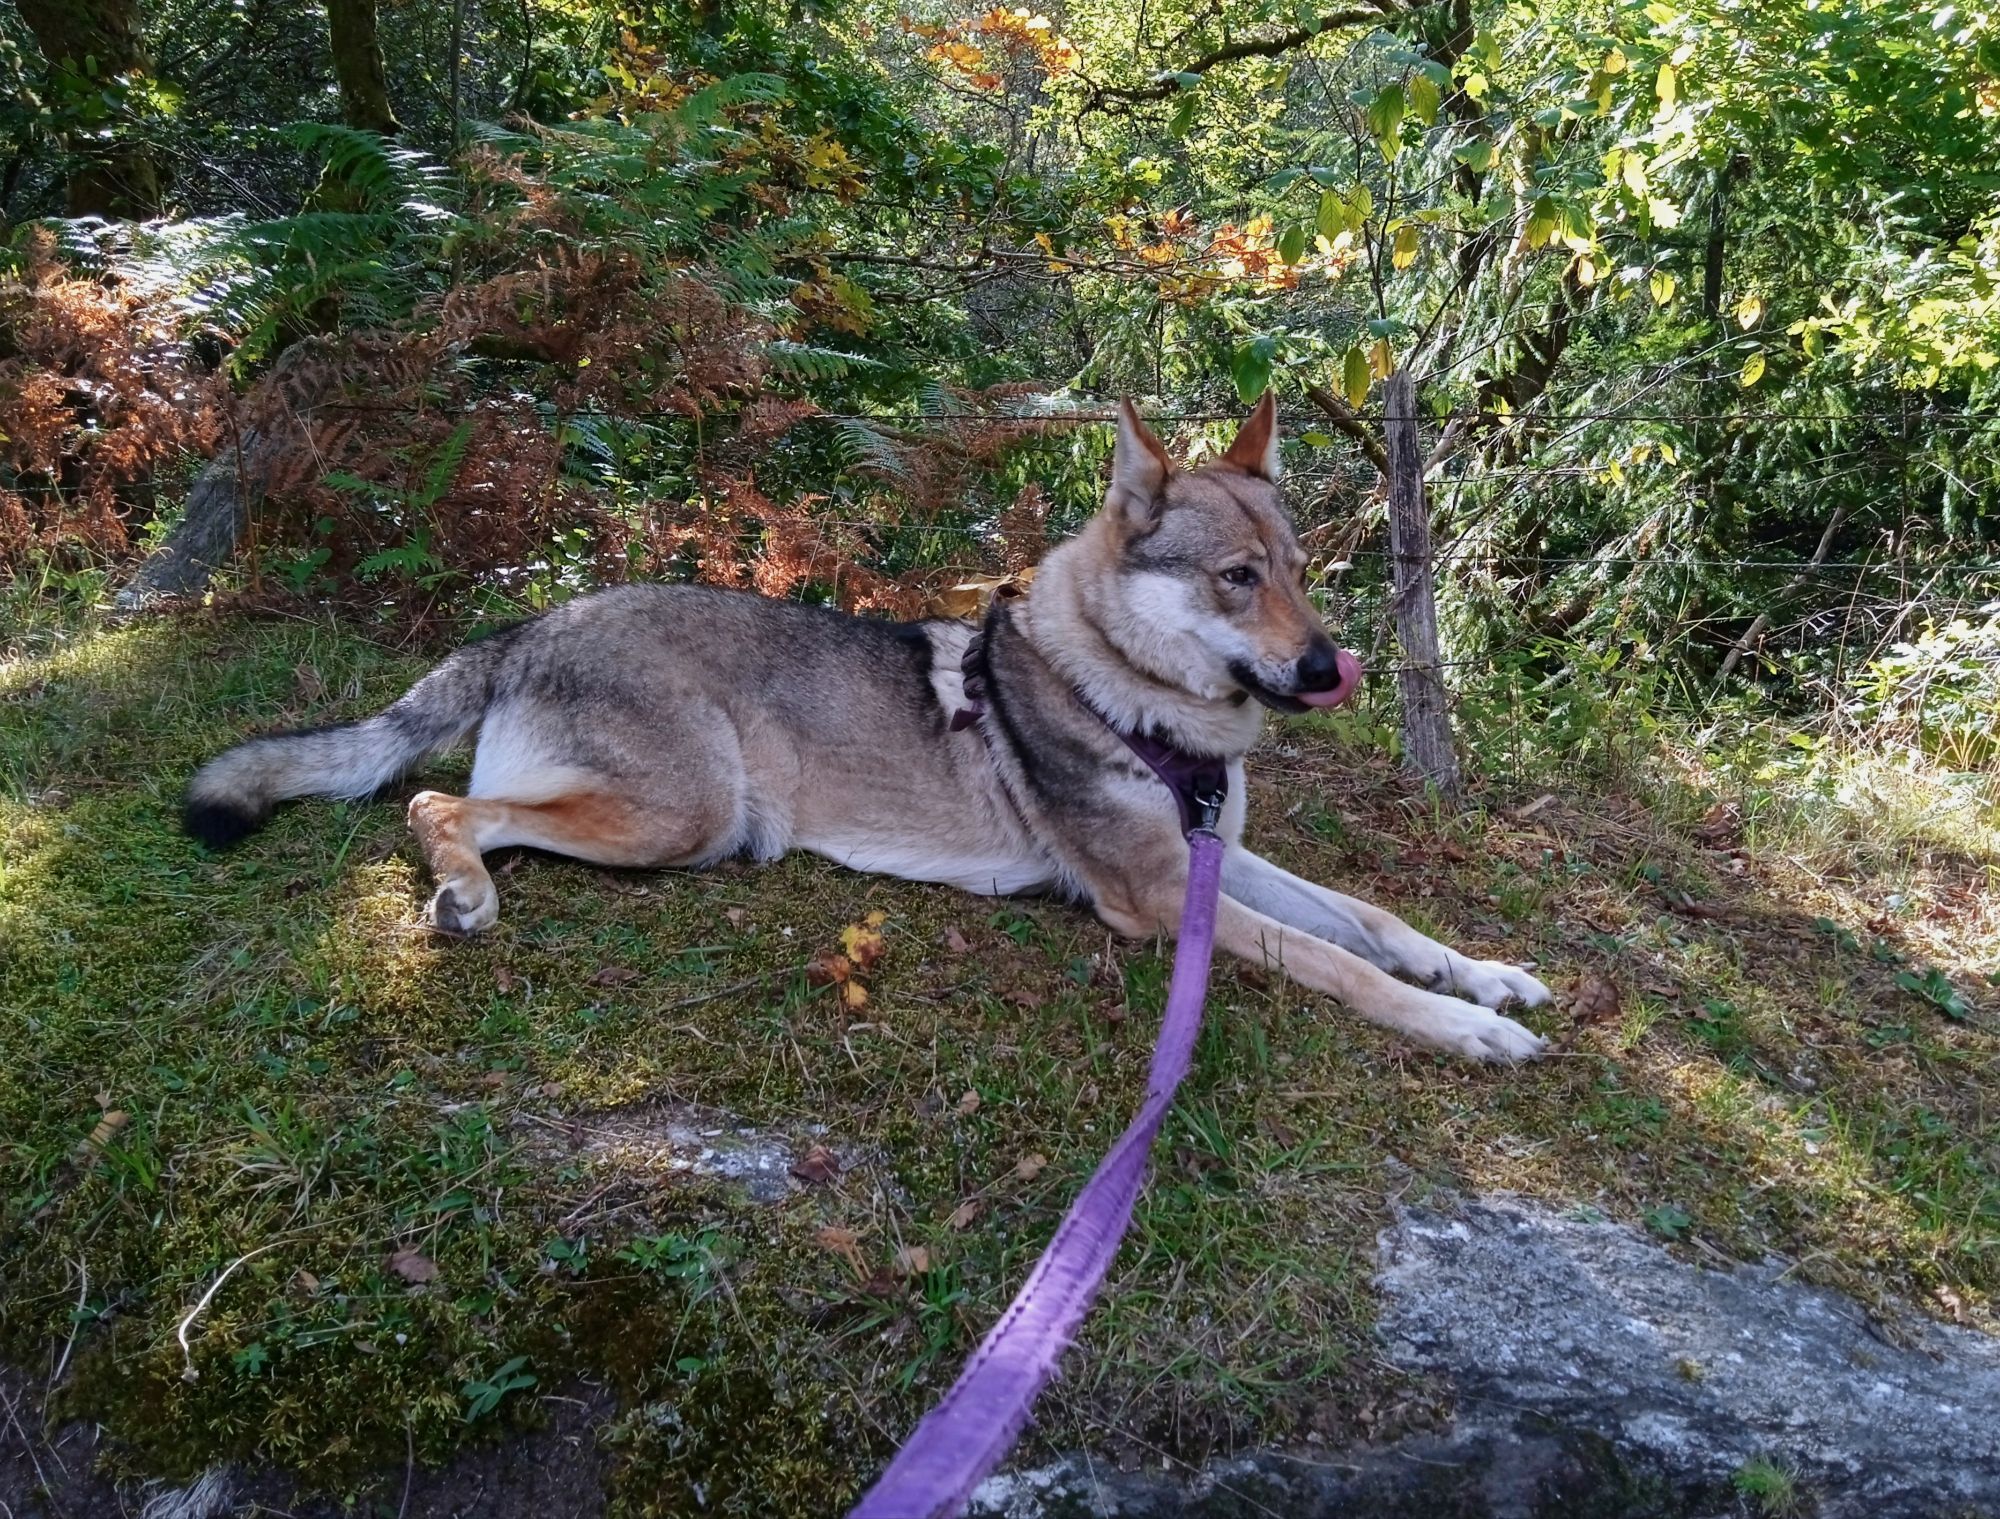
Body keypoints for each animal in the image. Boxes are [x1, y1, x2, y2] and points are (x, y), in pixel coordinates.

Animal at [188, 403, 1544, 1071]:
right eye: (1234, 578)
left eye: (1302, 574)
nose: (1328, 668)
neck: (1126, 696)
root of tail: (530, 623)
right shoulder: (1160, 901)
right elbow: (1343, 964)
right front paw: (1467, 1031)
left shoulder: (1215, 859)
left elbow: (1373, 920)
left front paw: (1483, 974)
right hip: (687, 815)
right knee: (435, 806)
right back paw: (465, 892)